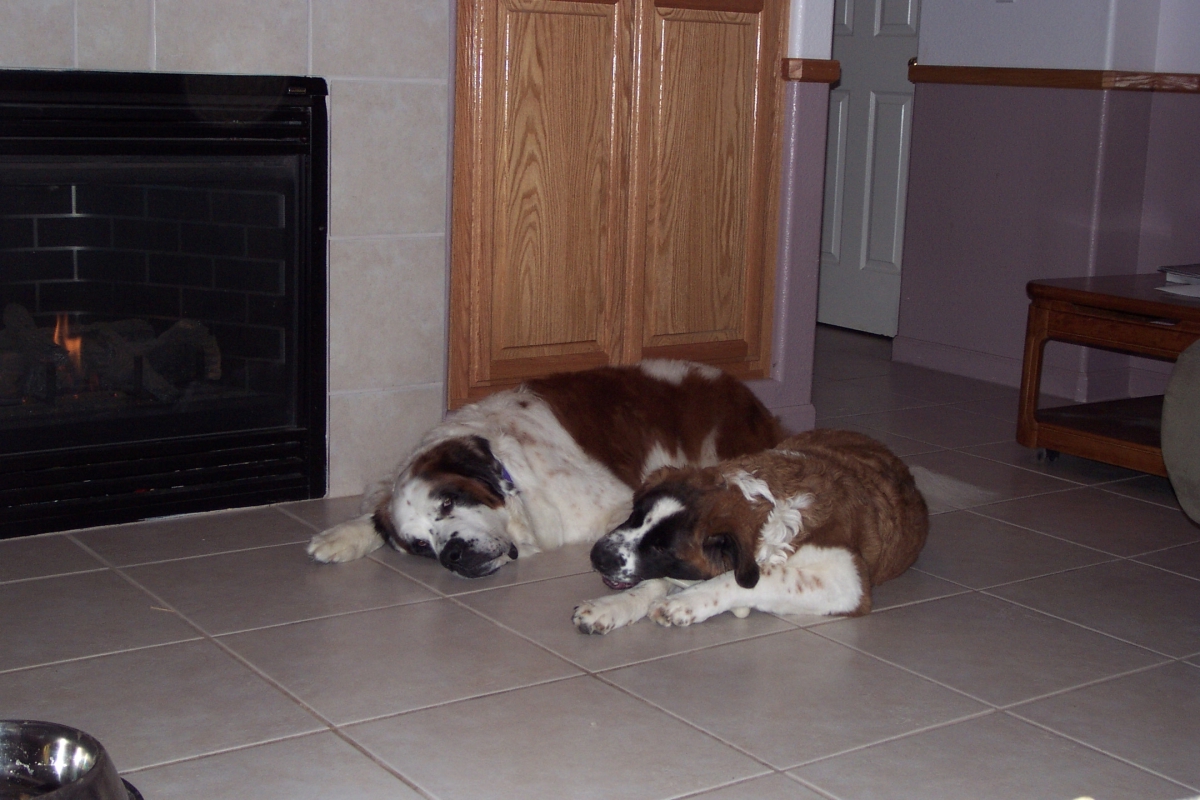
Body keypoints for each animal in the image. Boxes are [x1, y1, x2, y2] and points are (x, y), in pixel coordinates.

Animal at [307, 360, 783, 578]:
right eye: (421, 545)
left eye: (447, 503)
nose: (452, 554)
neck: (517, 479)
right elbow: (376, 506)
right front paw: (341, 536)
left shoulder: (615, 507)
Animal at [573, 428, 928, 634]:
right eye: (634, 516)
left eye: (662, 548)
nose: (598, 555)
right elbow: (652, 583)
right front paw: (609, 607)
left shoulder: (847, 581)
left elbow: (761, 577)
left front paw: (685, 603)